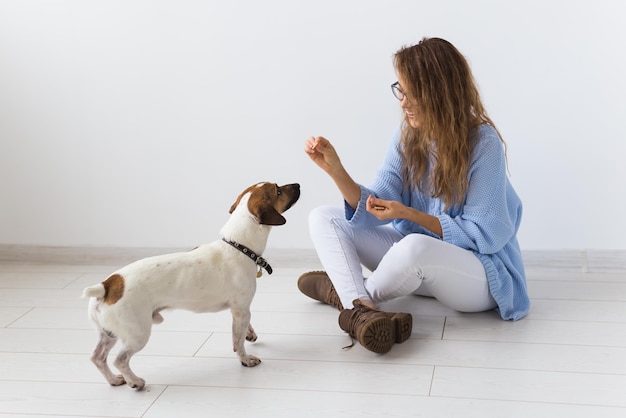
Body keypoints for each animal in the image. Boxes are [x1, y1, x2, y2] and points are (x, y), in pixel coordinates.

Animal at [81, 181, 302, 390]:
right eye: (278, 190)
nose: (298, 184)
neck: (238, 246)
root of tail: (107, 285)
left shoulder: (240, 310)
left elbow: (245, 327)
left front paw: (250, 333)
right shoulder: (241, 309)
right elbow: (237, 342)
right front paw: (245, 359)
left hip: (108, 333)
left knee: (97, 357)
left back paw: (113, 380)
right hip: (138, 332)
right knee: (120, 360)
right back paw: (134, 381)